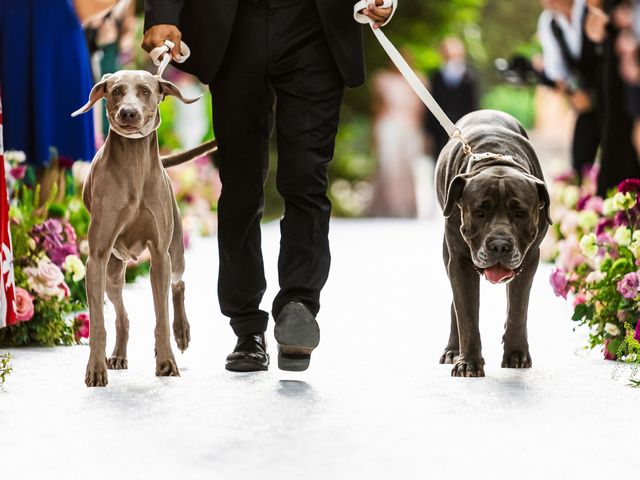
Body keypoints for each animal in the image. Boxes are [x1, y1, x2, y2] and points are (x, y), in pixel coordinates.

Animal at [73, 70, 218, 386]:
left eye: (145, 91)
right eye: (116, 91)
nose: (128, 112)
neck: (134, 166)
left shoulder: (160, 255)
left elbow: (161, 316)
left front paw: (166, 361)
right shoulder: (97, 258)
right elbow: (98, 324)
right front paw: (95, 369)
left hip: (175, 252)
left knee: (177, 285)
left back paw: (181, 332)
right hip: (113, 272)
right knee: (122, 316)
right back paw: (116, 355)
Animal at [438, 110, 552, 376]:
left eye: (520, 213)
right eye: (479, 213)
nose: (500, 245)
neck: (496, 162)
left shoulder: (530, 260)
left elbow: (518, 310)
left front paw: (517, 353)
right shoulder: (459, 261)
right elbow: (466, 314)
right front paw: (468, 362)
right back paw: (453, 349)